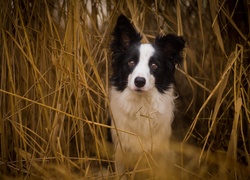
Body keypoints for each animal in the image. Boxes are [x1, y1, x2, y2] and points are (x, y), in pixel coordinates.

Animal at [110, 15, 186, 179]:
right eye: (131, 62)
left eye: (154, 65)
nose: (139, 81)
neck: (142, 104)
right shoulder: (121, 153)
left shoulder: (160, 152)